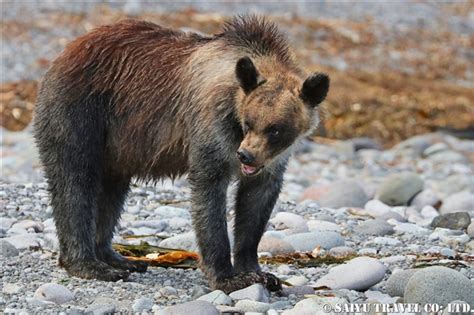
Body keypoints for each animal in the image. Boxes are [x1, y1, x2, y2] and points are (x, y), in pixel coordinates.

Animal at [33, 16, 330, 294]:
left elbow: (256, 203)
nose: (245, 156)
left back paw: (119, 258)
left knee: (111, 193)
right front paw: (228, 277)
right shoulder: (211, 128)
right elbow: (209, 195)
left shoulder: (272, 162)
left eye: (276, 129)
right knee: (76, 181)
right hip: (82, 110)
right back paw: (90, 264)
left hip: (118, 146)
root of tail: (69, 49)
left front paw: (261, 273)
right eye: (248, 122)